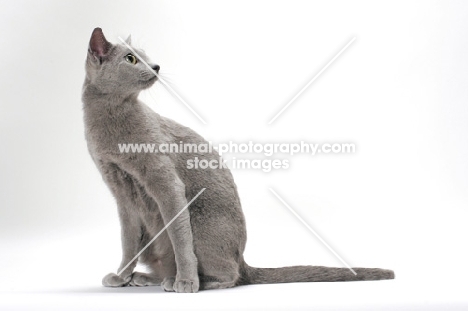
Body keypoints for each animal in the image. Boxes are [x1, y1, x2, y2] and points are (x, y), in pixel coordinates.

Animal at [81, 28, 394, 294]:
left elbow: (181, 242)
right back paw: (144, 278)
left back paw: (187, 281)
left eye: (146, 56)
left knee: (229, 275)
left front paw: (187, 282)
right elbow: (127, 241)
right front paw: (121, 276)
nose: (156, 67)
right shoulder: (121, 193)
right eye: (131, 58)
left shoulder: (167, 185)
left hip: (202, 223)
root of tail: (244, 259)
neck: (110, 122)